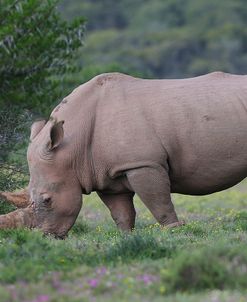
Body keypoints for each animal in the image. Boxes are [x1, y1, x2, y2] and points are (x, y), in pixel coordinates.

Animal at [0, 72, 247, 237]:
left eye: (47, 200)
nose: (41, 237)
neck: (72, 148)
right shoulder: (104, 174)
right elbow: (120, 211)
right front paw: (126, 236)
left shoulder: (143, 163)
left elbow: (159, 201)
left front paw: (174, 231)